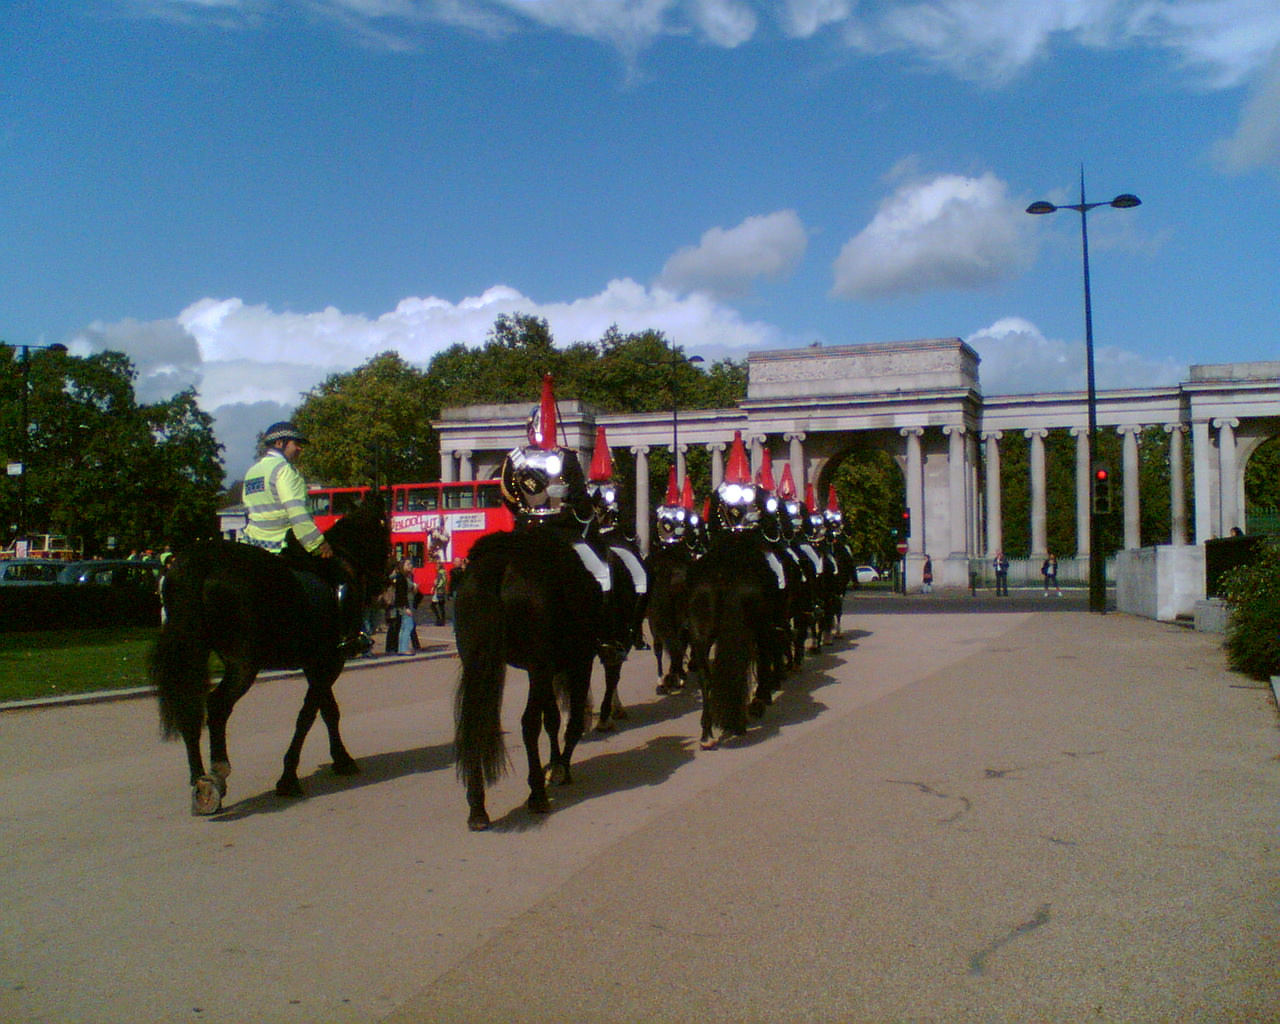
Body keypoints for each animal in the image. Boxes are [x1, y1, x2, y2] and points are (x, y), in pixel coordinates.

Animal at [151, 496, 386, 814]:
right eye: (387, 532)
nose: (383, 583)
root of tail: (200, 560)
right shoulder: (329, 661)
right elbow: (309, 716)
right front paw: (289, 776)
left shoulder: (316, 663)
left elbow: (327, 711)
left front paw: (340, 759)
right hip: (244, 663)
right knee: (217, 706)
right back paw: (216, 775)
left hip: (193, 653)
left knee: (191, 707)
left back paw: (198, 779)